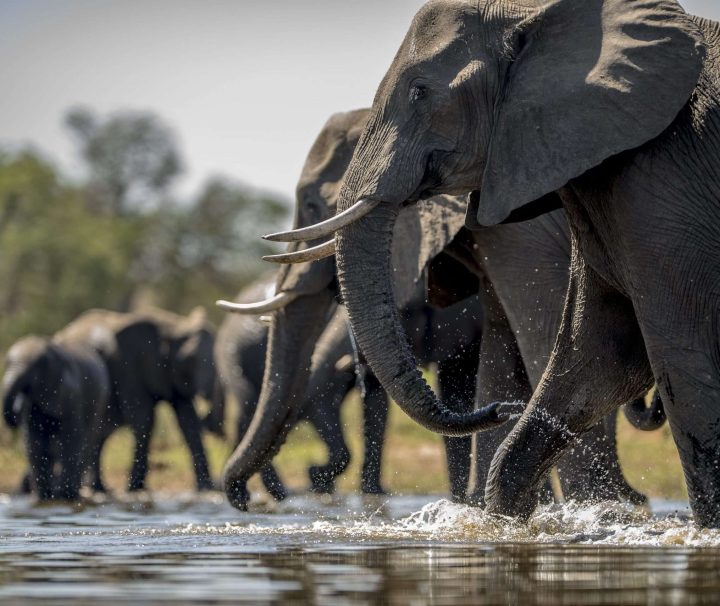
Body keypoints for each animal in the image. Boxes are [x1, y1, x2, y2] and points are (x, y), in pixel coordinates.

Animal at [0, 334, 110, 502]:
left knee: (87, 442)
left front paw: (65, 495)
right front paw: (44, 497)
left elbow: (70, 438)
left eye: (33, 370)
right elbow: (35, 441)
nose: (16, 410)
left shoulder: (72, 393)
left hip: (99, 403)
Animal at [55, 308, 217, 494]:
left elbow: (188, 422)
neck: (173, 326)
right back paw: (96, 489)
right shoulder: (129, 365)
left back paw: (100, 489)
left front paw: (206, 489)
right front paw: (135, 489)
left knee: (100, 434)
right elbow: (143, 418)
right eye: (190, 358)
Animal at [276, 1, 720, 524]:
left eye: (420, 92)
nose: (504, 411)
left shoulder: (657, 186)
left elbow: (675, 356)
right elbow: (598, 355)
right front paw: (514, 519)